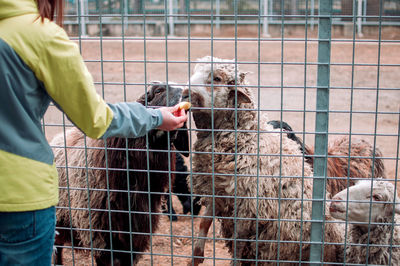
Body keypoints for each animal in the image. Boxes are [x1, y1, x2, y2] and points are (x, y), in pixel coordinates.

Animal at [183, 55, 342, 264]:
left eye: (217, 78)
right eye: (194, 71)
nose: (184, 94)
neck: (245, 138)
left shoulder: (250, 207)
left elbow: (238, 242)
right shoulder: (217, 191)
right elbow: (204, 221)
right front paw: (196, 254)